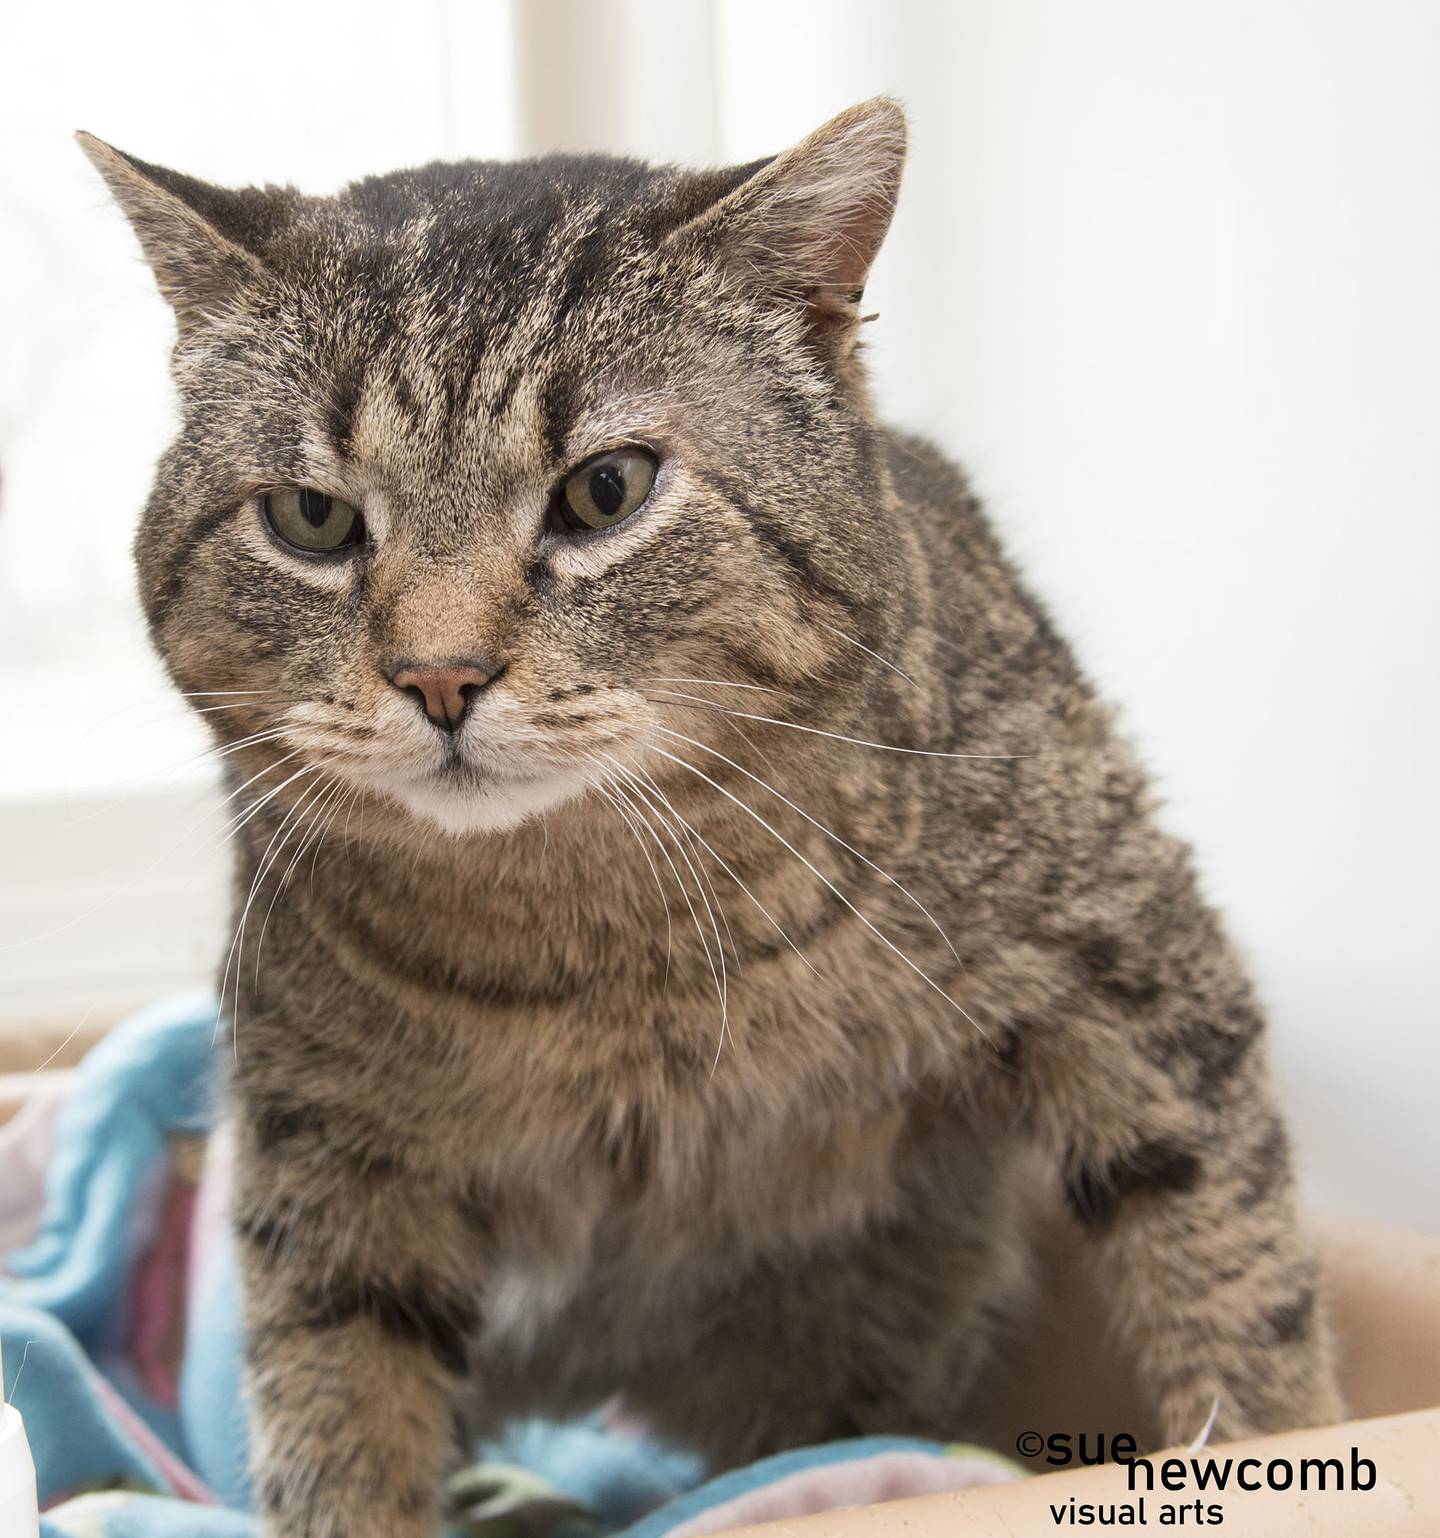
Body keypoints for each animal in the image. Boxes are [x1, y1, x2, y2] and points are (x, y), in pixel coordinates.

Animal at [78, 102, 1341, 1531]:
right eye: (312, 517)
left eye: (606, 489)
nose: (440, 675)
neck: (608, 948)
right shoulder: (331, 1151)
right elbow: (338, 1401)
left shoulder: (1137, 974)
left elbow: (1233, 1267)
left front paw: (1289, 1438)